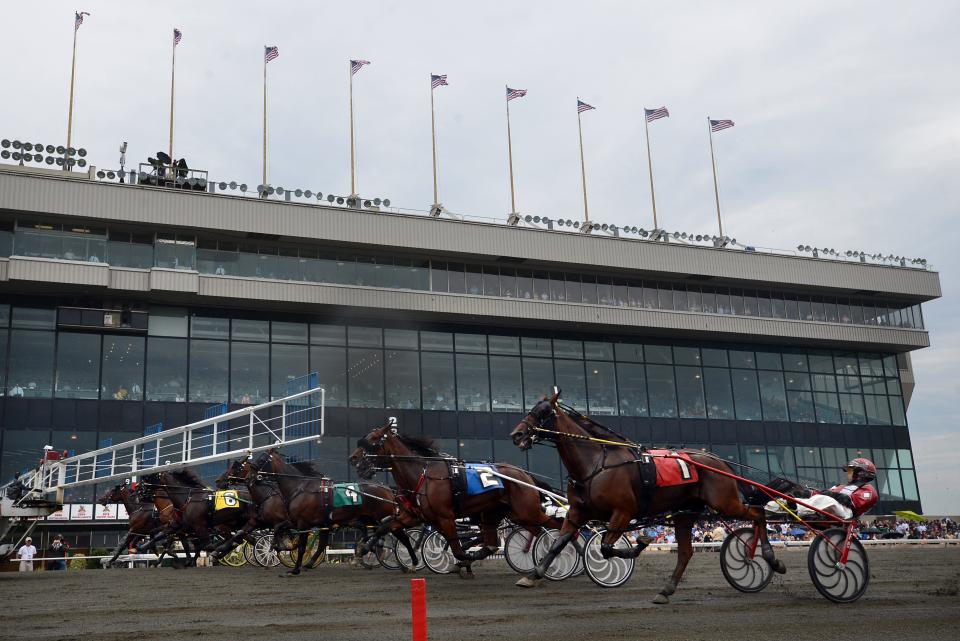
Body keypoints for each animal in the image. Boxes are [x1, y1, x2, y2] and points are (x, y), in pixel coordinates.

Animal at [348, 418, 564, 576]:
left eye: (374, 438)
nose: (353, 458)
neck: (423, 474)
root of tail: (524, 474)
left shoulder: (445, 517)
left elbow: (457, 549)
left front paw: (460, 563)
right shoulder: (415, 515)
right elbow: (384, 527)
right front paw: (365, 549)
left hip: (528, 511)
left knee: (555, 528)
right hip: (508, 515)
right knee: (517, 538)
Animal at [510, 392, 788, 604]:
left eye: (544, 412)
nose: (517, 435)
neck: (595, 465)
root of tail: (719, 461)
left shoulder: (623, 512)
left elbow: (606, 547)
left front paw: (640, 543)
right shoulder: (578, 512)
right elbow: (559, 543)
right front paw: (532, 575)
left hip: (725, 502)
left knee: (757, 513)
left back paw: (769, 559)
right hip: (687, 513)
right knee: (686, 552)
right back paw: (666, 590)